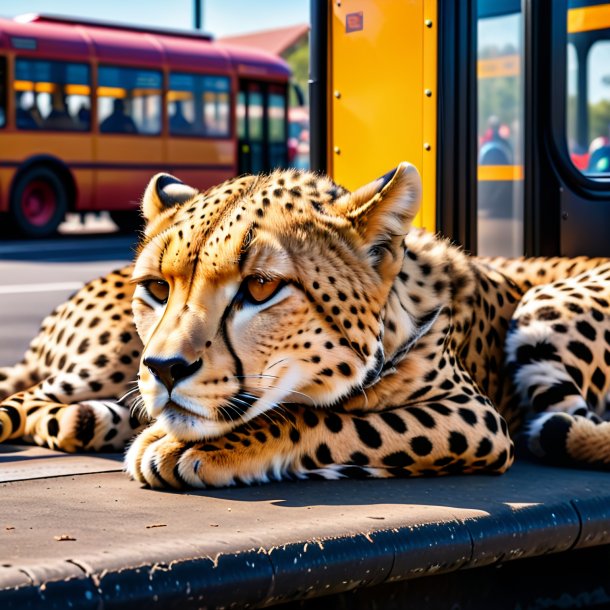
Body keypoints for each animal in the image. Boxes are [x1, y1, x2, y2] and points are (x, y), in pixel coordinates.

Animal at [1, 164, 608, 486]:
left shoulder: (476, 416)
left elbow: (325, 418)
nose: (165, 368)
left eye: (260, 288)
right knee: (31, 401)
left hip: (546, 305)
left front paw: (189, 445)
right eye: (156, 287)